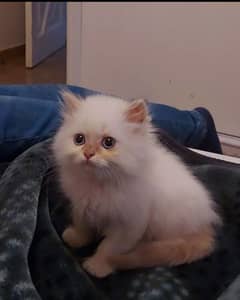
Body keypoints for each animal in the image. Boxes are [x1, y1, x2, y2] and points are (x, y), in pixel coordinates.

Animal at [52, 90, 221, 278]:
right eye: (79, 139)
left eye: (108, 142)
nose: (88, 154)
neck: (98, 183)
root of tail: (206, 224)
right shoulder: (81, 207)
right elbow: (83, 227)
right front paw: (75, 238)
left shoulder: (130, 225)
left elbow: (108, 248)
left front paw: (97, 266)